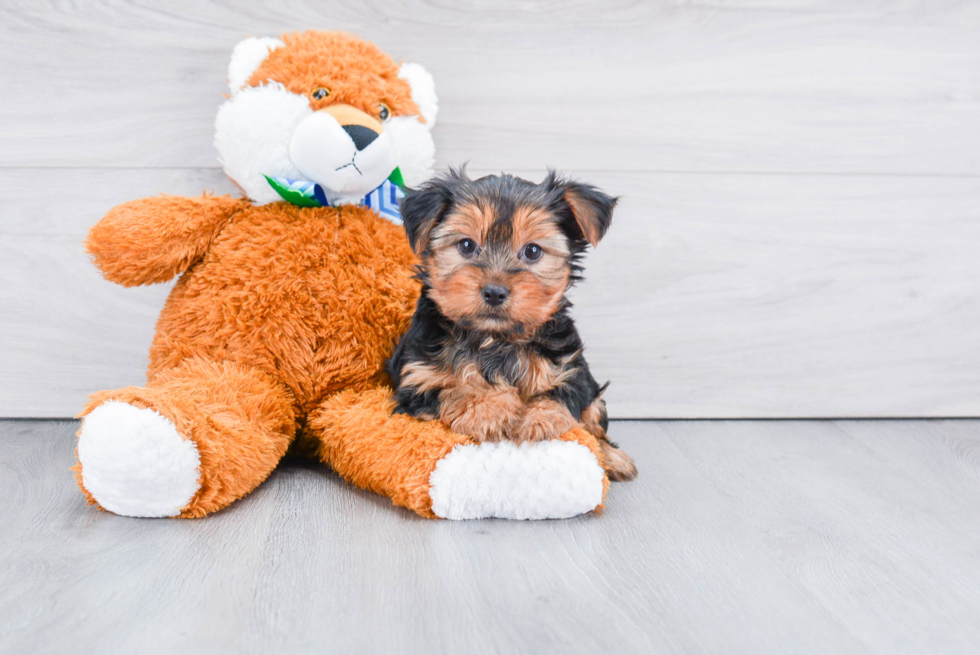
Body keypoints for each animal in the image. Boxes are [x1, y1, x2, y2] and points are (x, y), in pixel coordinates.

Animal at [386, 169, 640, 482]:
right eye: (466, 245)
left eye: (532, 251)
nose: (494, 292)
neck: (495, 339)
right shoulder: (417, 380)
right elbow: (453, 389)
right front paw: (493, 406)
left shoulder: (571, 370)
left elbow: (563, 397)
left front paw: (538, 419)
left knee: (594, 419)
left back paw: (613, 458)